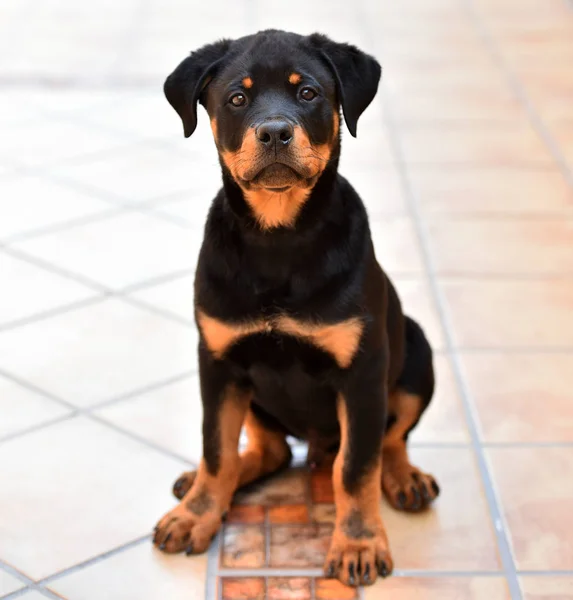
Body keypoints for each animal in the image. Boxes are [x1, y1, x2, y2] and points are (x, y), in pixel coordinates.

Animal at [152, 28, 438, 584]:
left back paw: (404, 477)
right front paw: (196, 515)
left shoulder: (362, 371)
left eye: (307, 93)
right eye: (237, 99)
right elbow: (216, 448)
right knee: (271, 450)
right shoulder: (218, 361)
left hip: (416, 348)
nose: (275, 133)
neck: (279, 236)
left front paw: (358, 543)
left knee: (390, 436)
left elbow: (356, 467)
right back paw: (198, 483)